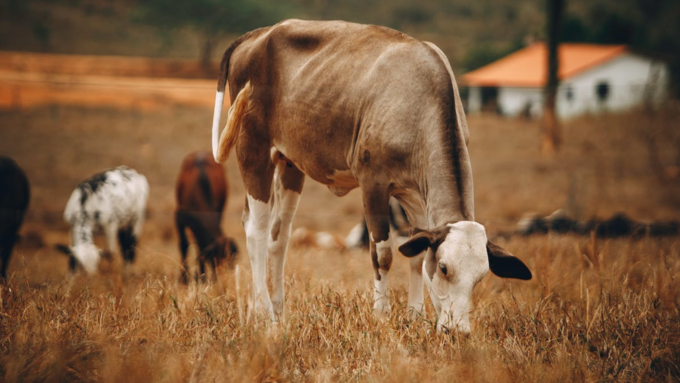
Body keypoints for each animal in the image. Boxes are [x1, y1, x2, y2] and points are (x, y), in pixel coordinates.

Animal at [175, 152, 239, 284]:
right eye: (215, 259)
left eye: (229, 263)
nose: (220, 278)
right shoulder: (179, 217)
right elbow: (184, 245)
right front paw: (184, 278)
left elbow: (200, 246)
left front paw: (201, 276)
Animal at [211, 19, 532, 334]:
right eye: (444, 267)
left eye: (480, 277)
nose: (458, 331)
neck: (420, 102)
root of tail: (261, 32)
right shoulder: (374, 185)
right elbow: (383, 254)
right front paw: (381, 316)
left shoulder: (416, 197)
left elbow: (415, 255)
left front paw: (416, 319)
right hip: (252, 150)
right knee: (256, 230)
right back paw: (264, 315)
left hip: (289, 163)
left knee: (278, 235)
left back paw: (274, 313)